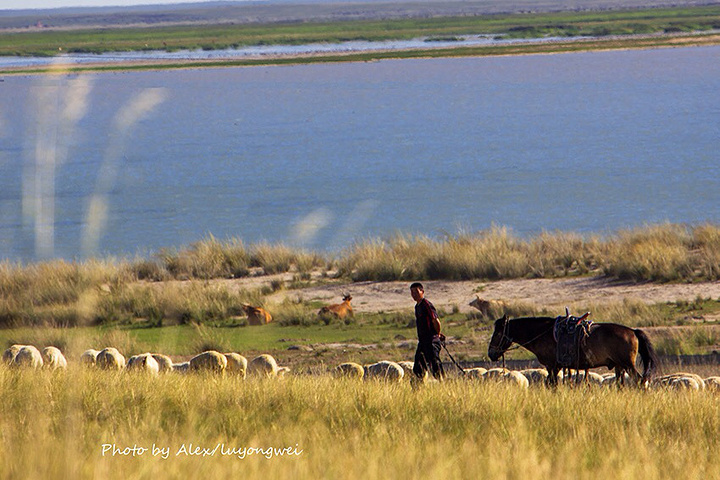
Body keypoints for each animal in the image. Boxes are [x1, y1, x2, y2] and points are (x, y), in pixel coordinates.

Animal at [486, 316, 660, 386]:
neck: (543, 333)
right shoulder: (556, 367)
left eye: (498, 333)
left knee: (640, 381)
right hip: (619, 366)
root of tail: (633, 331)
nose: (491, 353)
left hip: (627, 364)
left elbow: (552, 384)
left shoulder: (552, 365)